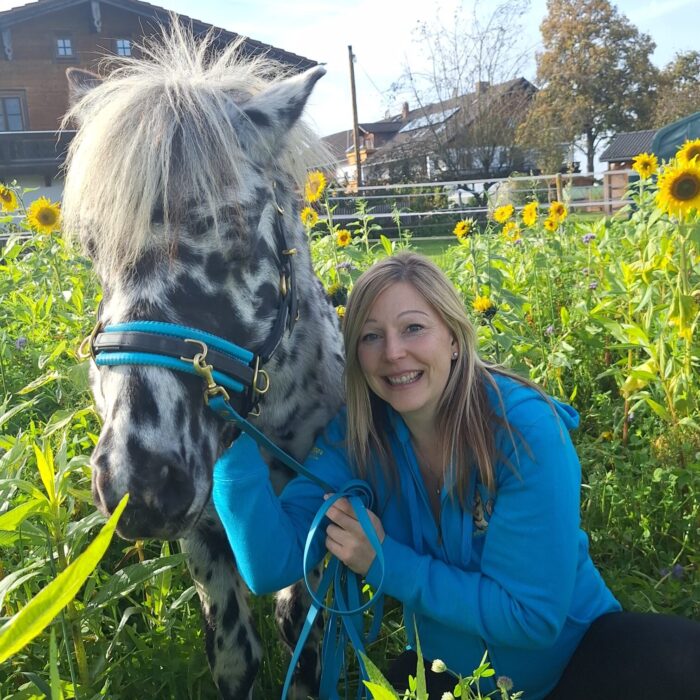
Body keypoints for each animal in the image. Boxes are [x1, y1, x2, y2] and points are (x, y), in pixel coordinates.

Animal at [62, 25, 344, 699]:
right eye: (92, 248)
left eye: (235, 230)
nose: (137, 482)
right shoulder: (203, 538)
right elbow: (235, 654)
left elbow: (302, 640)